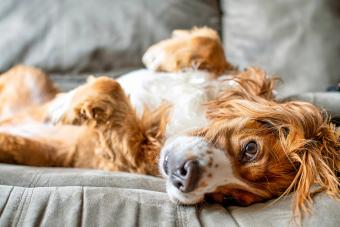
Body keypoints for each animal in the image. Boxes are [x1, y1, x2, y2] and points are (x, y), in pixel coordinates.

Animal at [0, 27, 338, 220]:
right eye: (251, 149)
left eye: (229, 197)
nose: (186, 178)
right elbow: (212, 43)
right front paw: (160, 54)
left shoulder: (126, 149)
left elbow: (111, 89)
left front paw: (71, 104)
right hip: (28, 74)